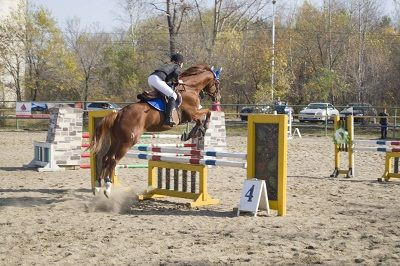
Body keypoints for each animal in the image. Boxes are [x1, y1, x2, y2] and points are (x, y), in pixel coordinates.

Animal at [90, 64, 222, 197]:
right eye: (217, 83)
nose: (218, 98)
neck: (190, 88)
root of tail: (119, 113)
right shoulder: (192, 113)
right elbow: (207, 113)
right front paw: (203, 128)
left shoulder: (191, 115)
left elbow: (202, 118)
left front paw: (191, 133)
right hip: (127, 142)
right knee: (113, 160)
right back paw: (107, 187)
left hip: (116, 140)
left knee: (105, 158)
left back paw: (98, 185)